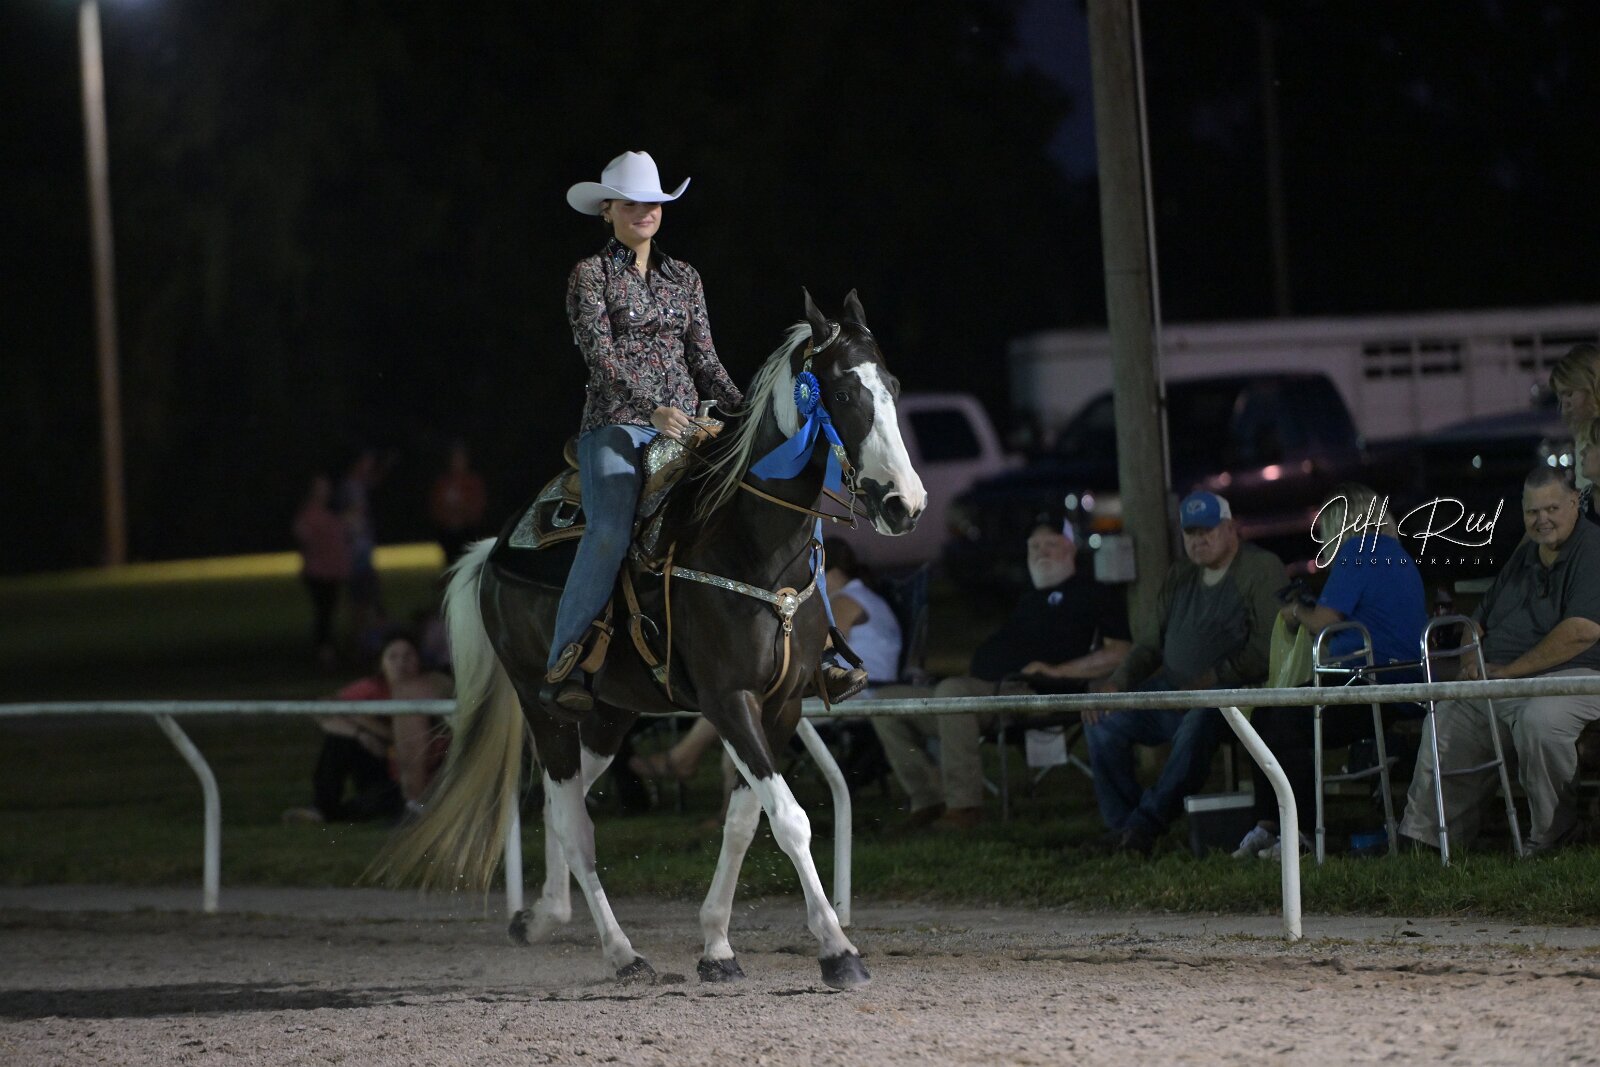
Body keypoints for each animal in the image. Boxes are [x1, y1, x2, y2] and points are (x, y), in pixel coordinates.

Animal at [374, 290, 927, 990]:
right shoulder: (728, 701)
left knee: (561, 806)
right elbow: (791, 821)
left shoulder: (780, 707)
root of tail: (494, 551)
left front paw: (717, 946)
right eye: (846, 393)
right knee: (573, 822)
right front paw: (838, 950)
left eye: (894, 387)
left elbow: (745, 822)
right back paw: (622, 953)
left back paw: (544, 917)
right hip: (543, 707)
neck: (749, 543)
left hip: (609, 716)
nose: (905, 505)